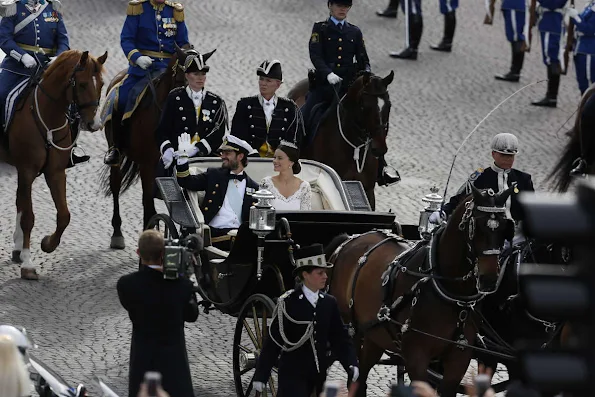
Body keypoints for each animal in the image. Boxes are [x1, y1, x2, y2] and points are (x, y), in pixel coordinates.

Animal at [0, 49, 108, 278]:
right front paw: (28, 263)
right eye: (82, 84)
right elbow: (28, 217)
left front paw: (47, 244)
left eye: (102, 84)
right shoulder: (27, 170)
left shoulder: (55, 172)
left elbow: (64, 215)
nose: (94, 124)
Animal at [326, 184, 516, 394]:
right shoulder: (416, 357)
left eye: (505, 228)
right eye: (477, 227)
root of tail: (350, 239)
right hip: (350, 330)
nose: (489, 279)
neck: (451, 294)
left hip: (374, 336)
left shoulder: (459, 359)